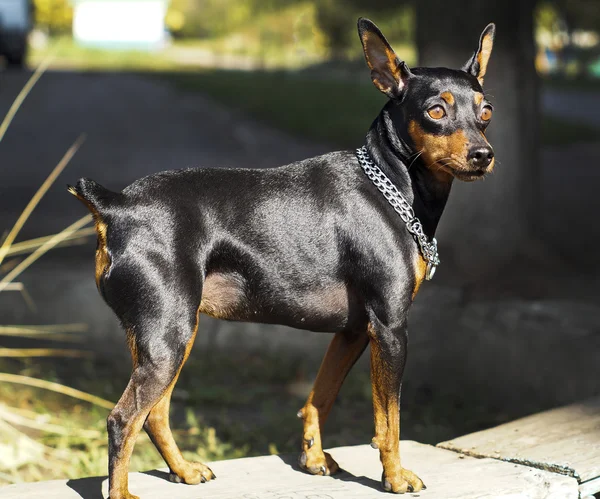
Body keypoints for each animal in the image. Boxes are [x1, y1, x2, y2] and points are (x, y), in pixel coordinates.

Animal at [69, 17, 496, 498]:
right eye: (436, 111)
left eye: (486, 112)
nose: (483, 155)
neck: (390, 184)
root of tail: (116, 205)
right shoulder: (389, 328)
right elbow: (389, 421)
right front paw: (395, 476)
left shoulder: (353, 330)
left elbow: (319, 397)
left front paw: (313, 459)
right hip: (168, 337)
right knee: (123, 419)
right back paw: (125, 490)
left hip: (168, 337)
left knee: (154, 413)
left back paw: (184, 470)